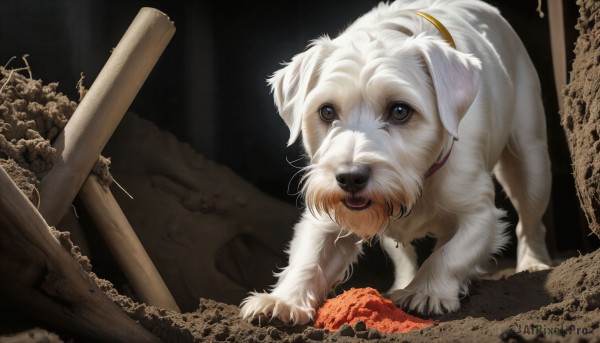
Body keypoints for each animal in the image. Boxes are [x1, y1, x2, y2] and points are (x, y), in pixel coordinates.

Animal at [241, 0, 552, 326]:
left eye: (400, 110)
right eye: (327, 111)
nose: (350, 177)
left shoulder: (479, 214)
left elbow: (450, 255)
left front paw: (426, 292)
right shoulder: (327, 214)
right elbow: (308, 257)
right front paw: (282, 301)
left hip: (530, 159)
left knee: (530, 221)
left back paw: (533, 263)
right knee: (402, 254)